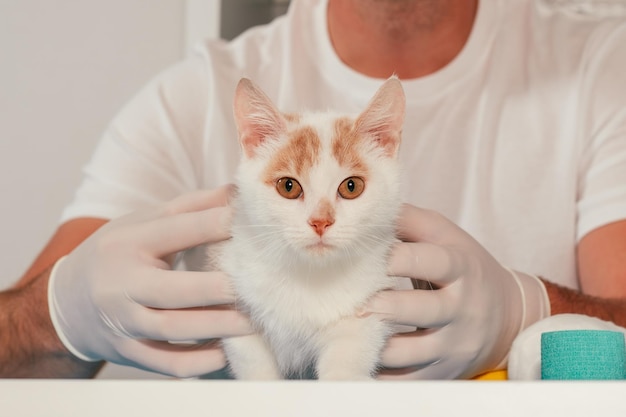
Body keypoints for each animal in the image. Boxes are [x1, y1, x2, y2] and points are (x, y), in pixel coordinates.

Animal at [217, 76, 408, 378]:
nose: (320, 221)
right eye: (288, 186)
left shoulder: (363, 316)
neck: (310, 277)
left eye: (351, 186)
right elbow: (253, 365)